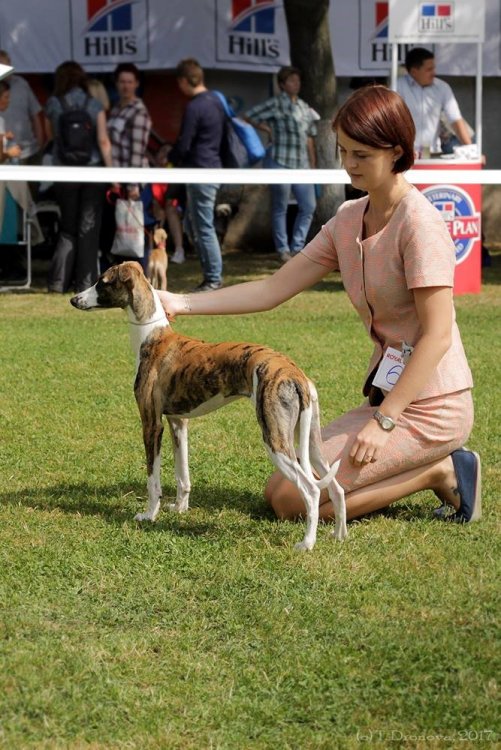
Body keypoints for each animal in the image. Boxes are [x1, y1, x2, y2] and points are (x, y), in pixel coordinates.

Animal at [69, 262, 344, 552]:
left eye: (102, 282)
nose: (73, 299)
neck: (152, 336)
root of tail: (294, 373)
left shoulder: (151, 424)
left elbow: (153, 479)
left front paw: (149, 515)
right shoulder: (178, 422)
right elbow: (182, 474)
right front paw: (179, 508)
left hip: (276, 439)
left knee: (312, 490)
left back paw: (307, 543)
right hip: (312, 440)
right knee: (336, 487)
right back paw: (339, 535)